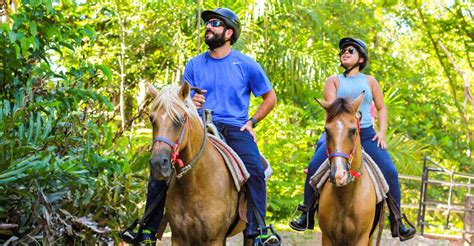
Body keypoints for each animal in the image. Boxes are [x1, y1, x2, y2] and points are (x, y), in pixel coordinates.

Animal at [148, 82, 246, 244]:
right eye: (152, 119)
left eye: (180, 119)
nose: (158, 164)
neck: (195, 184)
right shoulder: (178, 237)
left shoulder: (213, 239)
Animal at [316, 93, 376, 245]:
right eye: (326, 130)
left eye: (353, 130)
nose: (339, 175)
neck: (345, 199)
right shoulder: (327, 237)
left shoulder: (361, 238)